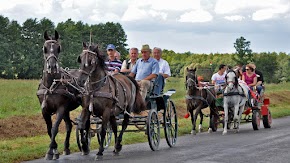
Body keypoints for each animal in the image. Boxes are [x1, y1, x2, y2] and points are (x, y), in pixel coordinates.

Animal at [36, 30, 86, 160]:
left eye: (59, 48)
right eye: (44, 48)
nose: (52, 67)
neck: (51, 86)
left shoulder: (61, 108)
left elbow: (54, 128)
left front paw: (50, 152)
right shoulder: (44, 110)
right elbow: (49, 129)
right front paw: (54, 149)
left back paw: (84, 146)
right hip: (67, 110)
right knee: (69, 126)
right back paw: (66, 148)